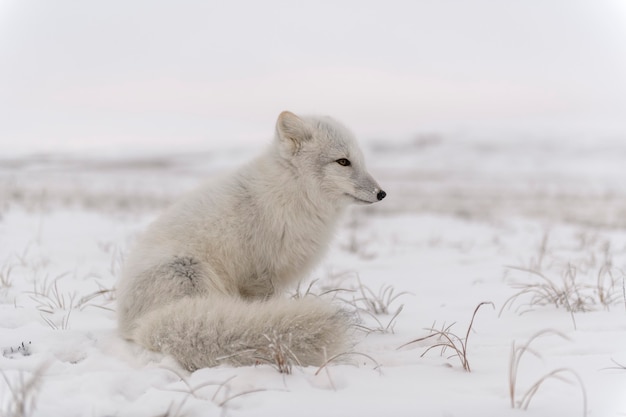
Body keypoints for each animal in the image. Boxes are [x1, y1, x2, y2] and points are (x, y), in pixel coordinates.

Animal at [114, 110, 382, 370]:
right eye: (343, 161)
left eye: (360, 160)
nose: (382, 194)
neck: (291, 193)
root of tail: (134, 325)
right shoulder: (260, 276)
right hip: (190, 271)